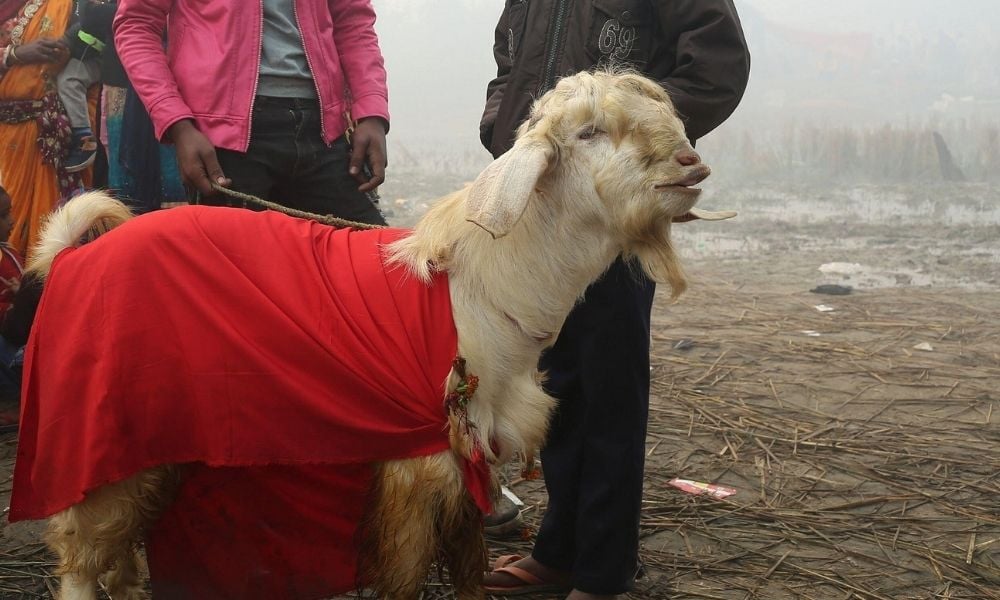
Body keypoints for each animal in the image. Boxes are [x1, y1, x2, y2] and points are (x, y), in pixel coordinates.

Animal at [9, 68, 736, 596]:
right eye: (588, 132)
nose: (689, 162)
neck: (475, 291)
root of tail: (74, 253)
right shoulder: (418, 466)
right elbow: (407, 574)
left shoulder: (467, 462)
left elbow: (469, 569)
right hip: (98, 434)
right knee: (80, 558)